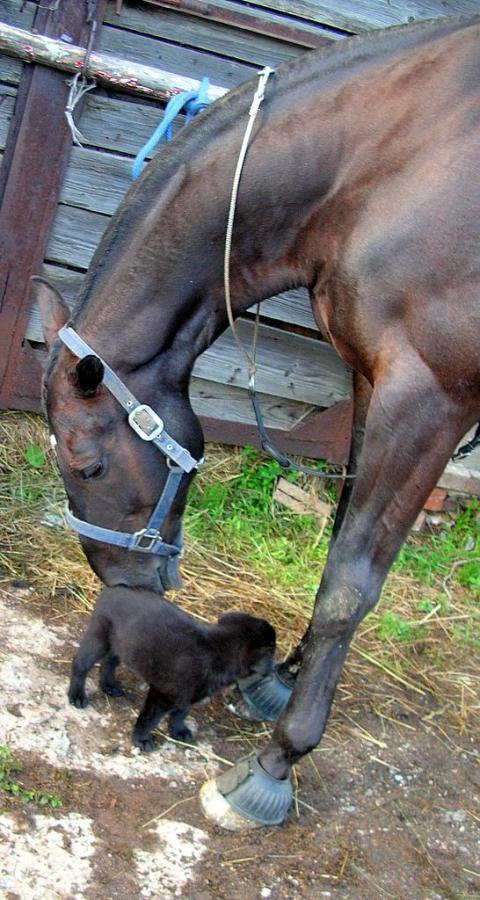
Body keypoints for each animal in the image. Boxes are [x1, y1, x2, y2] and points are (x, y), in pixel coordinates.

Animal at [69, 584, 276, 752]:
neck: (218, 649)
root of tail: (115, 586)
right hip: (99, 637)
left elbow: (180, 713)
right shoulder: (161, 696)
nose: (273, 669)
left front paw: (178, 730)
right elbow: (149, 719)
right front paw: (141, 739)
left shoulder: (188, 697)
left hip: (124, 644)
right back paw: (77, 696)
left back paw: (109, 686)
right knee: (80, 664)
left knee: (109, 661)